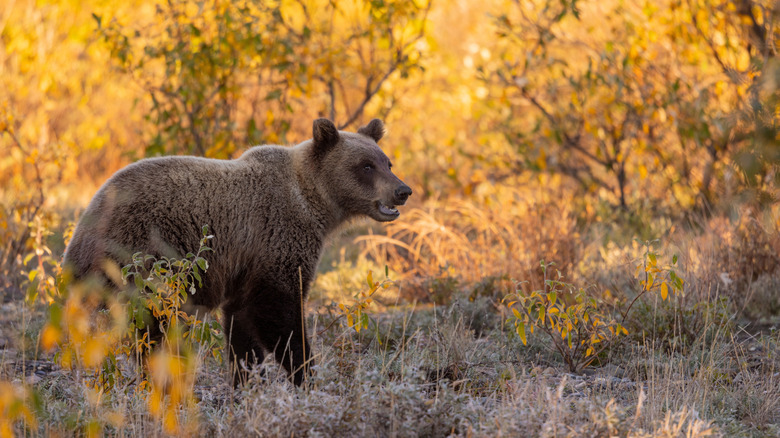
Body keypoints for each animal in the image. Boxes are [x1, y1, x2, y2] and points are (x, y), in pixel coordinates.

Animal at [62, 118, 411, 386]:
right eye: (365, 166)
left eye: (387, 162)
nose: (403, 190)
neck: (315, 205)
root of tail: (82, 229)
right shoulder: (277, 241)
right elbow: (279, 315)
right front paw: (305, 374)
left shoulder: (245, 267)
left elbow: (242, 329)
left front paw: (246, 381)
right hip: (145, 258)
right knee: (153, 328)